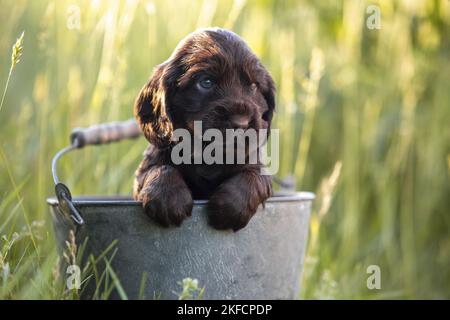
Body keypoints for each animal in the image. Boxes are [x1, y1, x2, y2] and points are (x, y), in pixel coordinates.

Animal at [132, 28, 276, 230]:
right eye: (206, 82)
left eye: (254, 86)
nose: (241, 122)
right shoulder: (145, 170)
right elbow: (160, 168)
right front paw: (168, 199)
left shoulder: (258, 166)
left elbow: (252, 175)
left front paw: (230, 208)